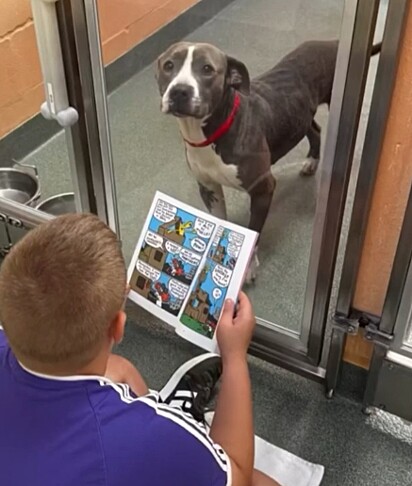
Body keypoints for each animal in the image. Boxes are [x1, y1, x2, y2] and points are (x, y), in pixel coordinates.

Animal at [154, 40, 380, 280]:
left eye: (207, 69)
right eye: (169, 65)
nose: (179, 90)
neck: (212, 132)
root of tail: (334, 42)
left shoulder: (262, 189)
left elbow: (254, 231)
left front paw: (248, 267)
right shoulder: (209, 188)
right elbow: (219, 220)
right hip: (300, 116)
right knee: (315, 129)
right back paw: (311, 161)